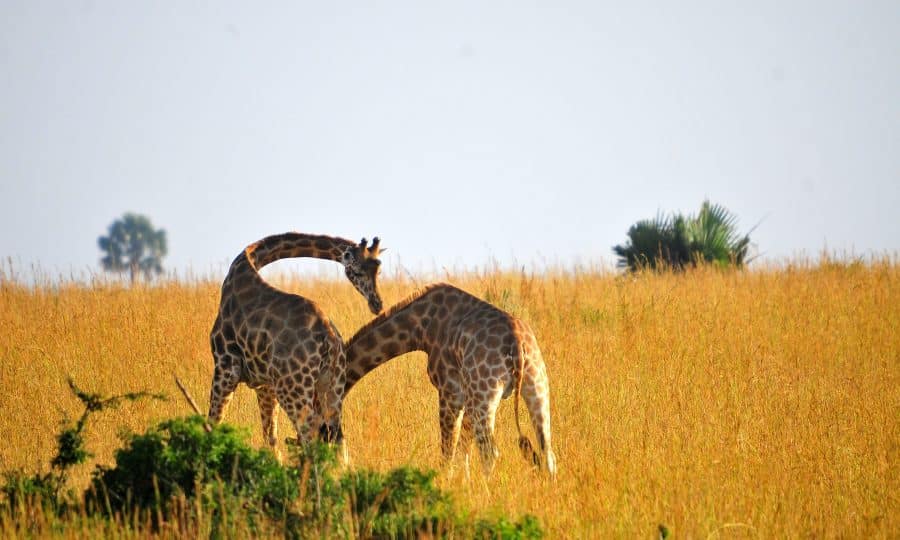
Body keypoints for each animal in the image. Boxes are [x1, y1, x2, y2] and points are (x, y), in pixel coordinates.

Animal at [208, 232, 383, 454]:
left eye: (378, 270)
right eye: (359, 271)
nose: (377, 304)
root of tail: (329, 340)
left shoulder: (226, 366)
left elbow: (213, 423)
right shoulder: (265, 384)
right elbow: (270, 438)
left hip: (293, 390)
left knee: (310, 438)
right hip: (332, 387)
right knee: (336, 438)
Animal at [343, 283, 556, 477]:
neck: (419, 328)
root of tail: (517, 344)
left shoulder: (449, 390)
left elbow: (448, 452)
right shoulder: (466, 396)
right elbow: (463, 450)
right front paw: (464, 483)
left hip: (484, 395)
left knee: (489, 452)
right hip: (536, 386)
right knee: (547, 451)